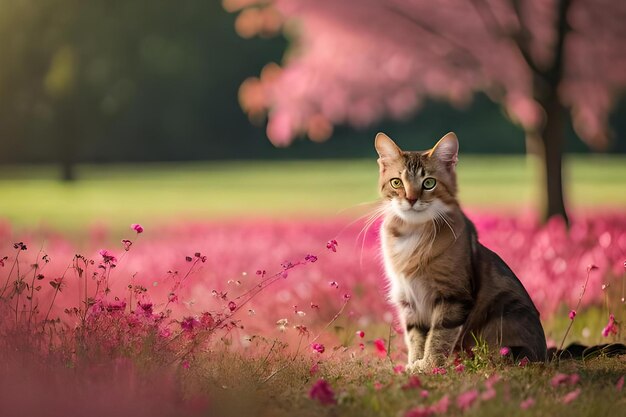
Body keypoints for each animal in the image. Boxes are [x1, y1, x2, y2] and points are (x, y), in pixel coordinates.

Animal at [372, 132, 544, 372]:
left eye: (429, 183)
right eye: (396, 182)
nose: (411, 199)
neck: (413, 232)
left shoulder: (453, 295)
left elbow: (439, 335)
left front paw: (429, 366)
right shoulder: (408, 298)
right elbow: (416, 336)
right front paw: (414, 363)